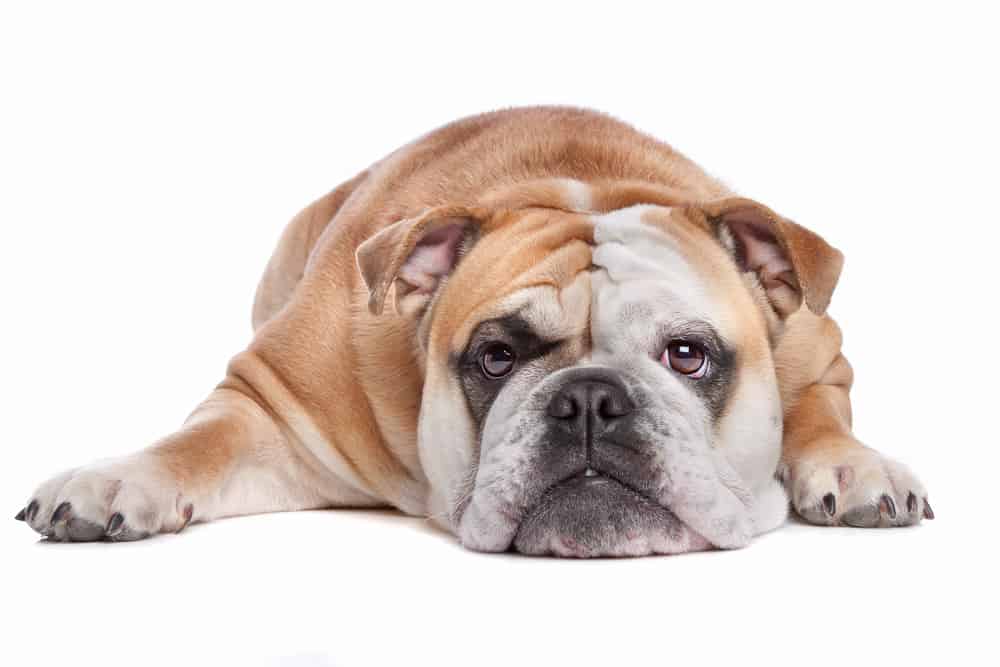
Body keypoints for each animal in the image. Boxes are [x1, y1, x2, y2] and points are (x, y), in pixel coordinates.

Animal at [15, 108, 932, 560]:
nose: (590, 399)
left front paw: (853, 466)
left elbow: (819, 408)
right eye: (496, 356)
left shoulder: (818, 345)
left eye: (688, 354)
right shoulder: (275, 401)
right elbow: (196, 442)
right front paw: (114, 478)